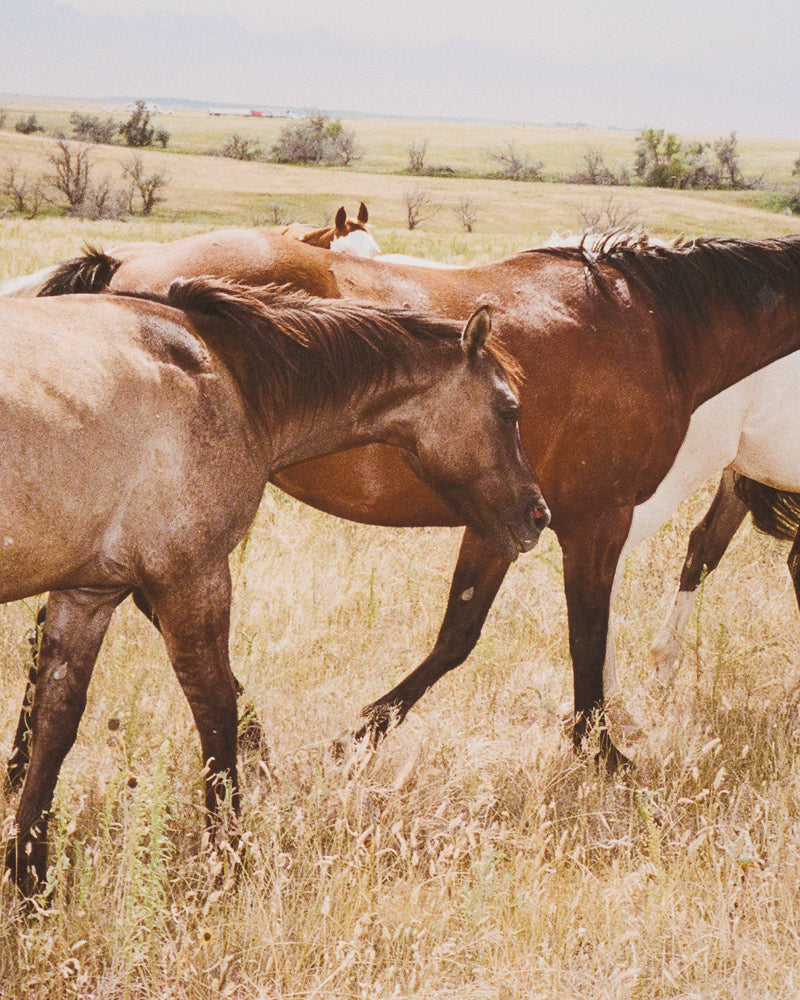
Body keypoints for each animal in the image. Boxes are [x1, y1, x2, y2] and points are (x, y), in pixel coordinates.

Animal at [0, 278, 546, 895]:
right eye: (509, 411)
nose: (539, 515)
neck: (227, 376)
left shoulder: (87, 594)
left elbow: (55, 721)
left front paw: (28, 873)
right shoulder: (193, 578)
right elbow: (216, 710)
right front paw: (228, 859)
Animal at [16, 230, 800, 772]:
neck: (655, 326)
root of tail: (127, 267)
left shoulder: (509, 519)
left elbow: (461, 635)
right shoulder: (591, 520)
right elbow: (579, 635)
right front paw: (603, 751)